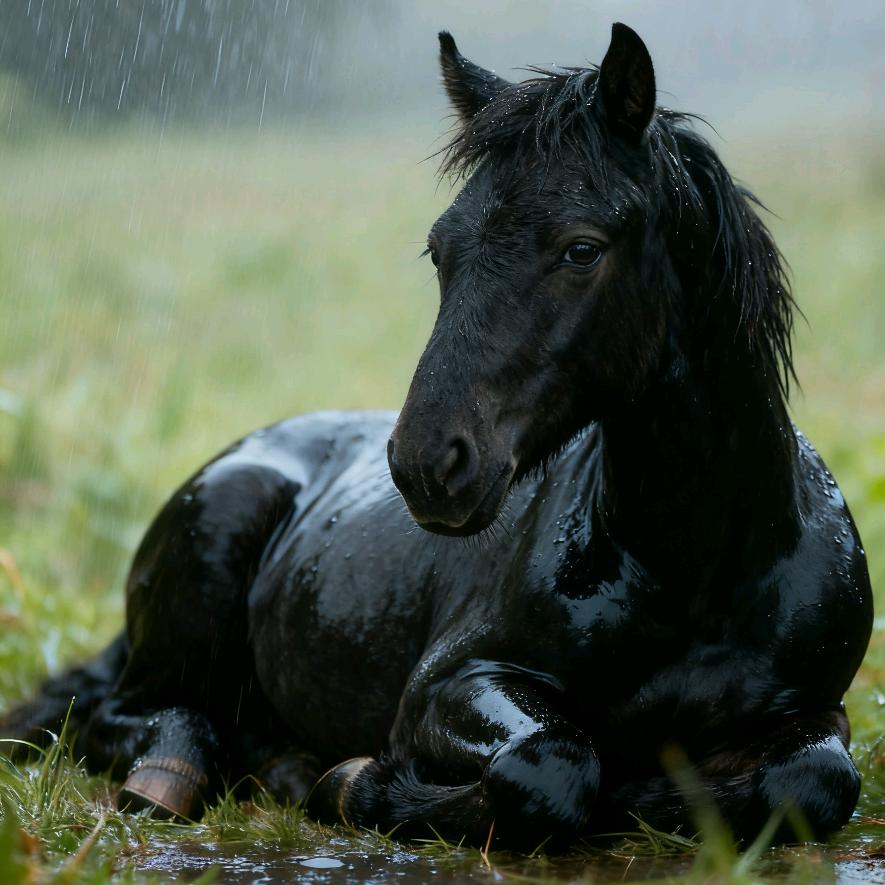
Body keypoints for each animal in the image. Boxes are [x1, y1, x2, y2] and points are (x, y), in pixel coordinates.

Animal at [1, 23, 873, 852]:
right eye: (439, 248)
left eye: (581, 249)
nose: (425, 462)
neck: (692, 570)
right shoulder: (449, 684)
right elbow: (554, 763)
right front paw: (357, 784)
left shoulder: (814, 710)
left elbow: (814, 779)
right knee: (127, 715)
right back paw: (193, 771)